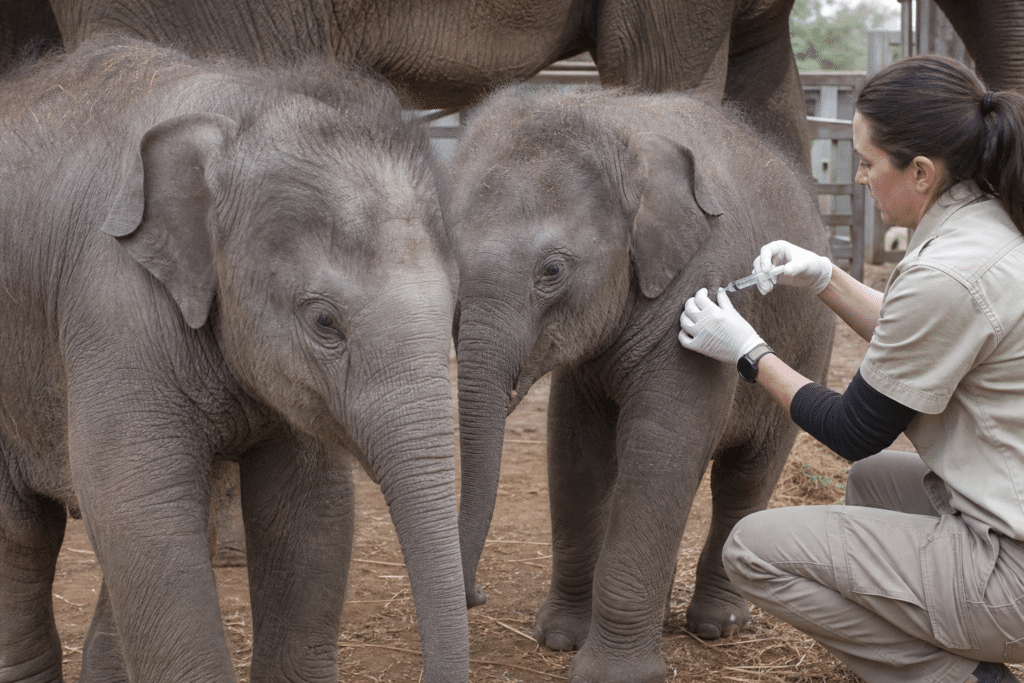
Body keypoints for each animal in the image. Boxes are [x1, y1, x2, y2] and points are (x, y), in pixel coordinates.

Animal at [0, 37, 466, 683]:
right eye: (325, 323)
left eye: (457, 311)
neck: (242, 104)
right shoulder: (111, 304)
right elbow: (139, 512)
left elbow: (310, 513)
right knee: (21, 536)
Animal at [447, 86, 834, 683]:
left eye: (552, 271)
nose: (477, 595)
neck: (607, 119)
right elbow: (576, 453)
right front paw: (559, 638)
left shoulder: (698, 283)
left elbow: (661, 447)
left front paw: (611, 675)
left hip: (812, 347)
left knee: (746, 478)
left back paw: (717, 627)